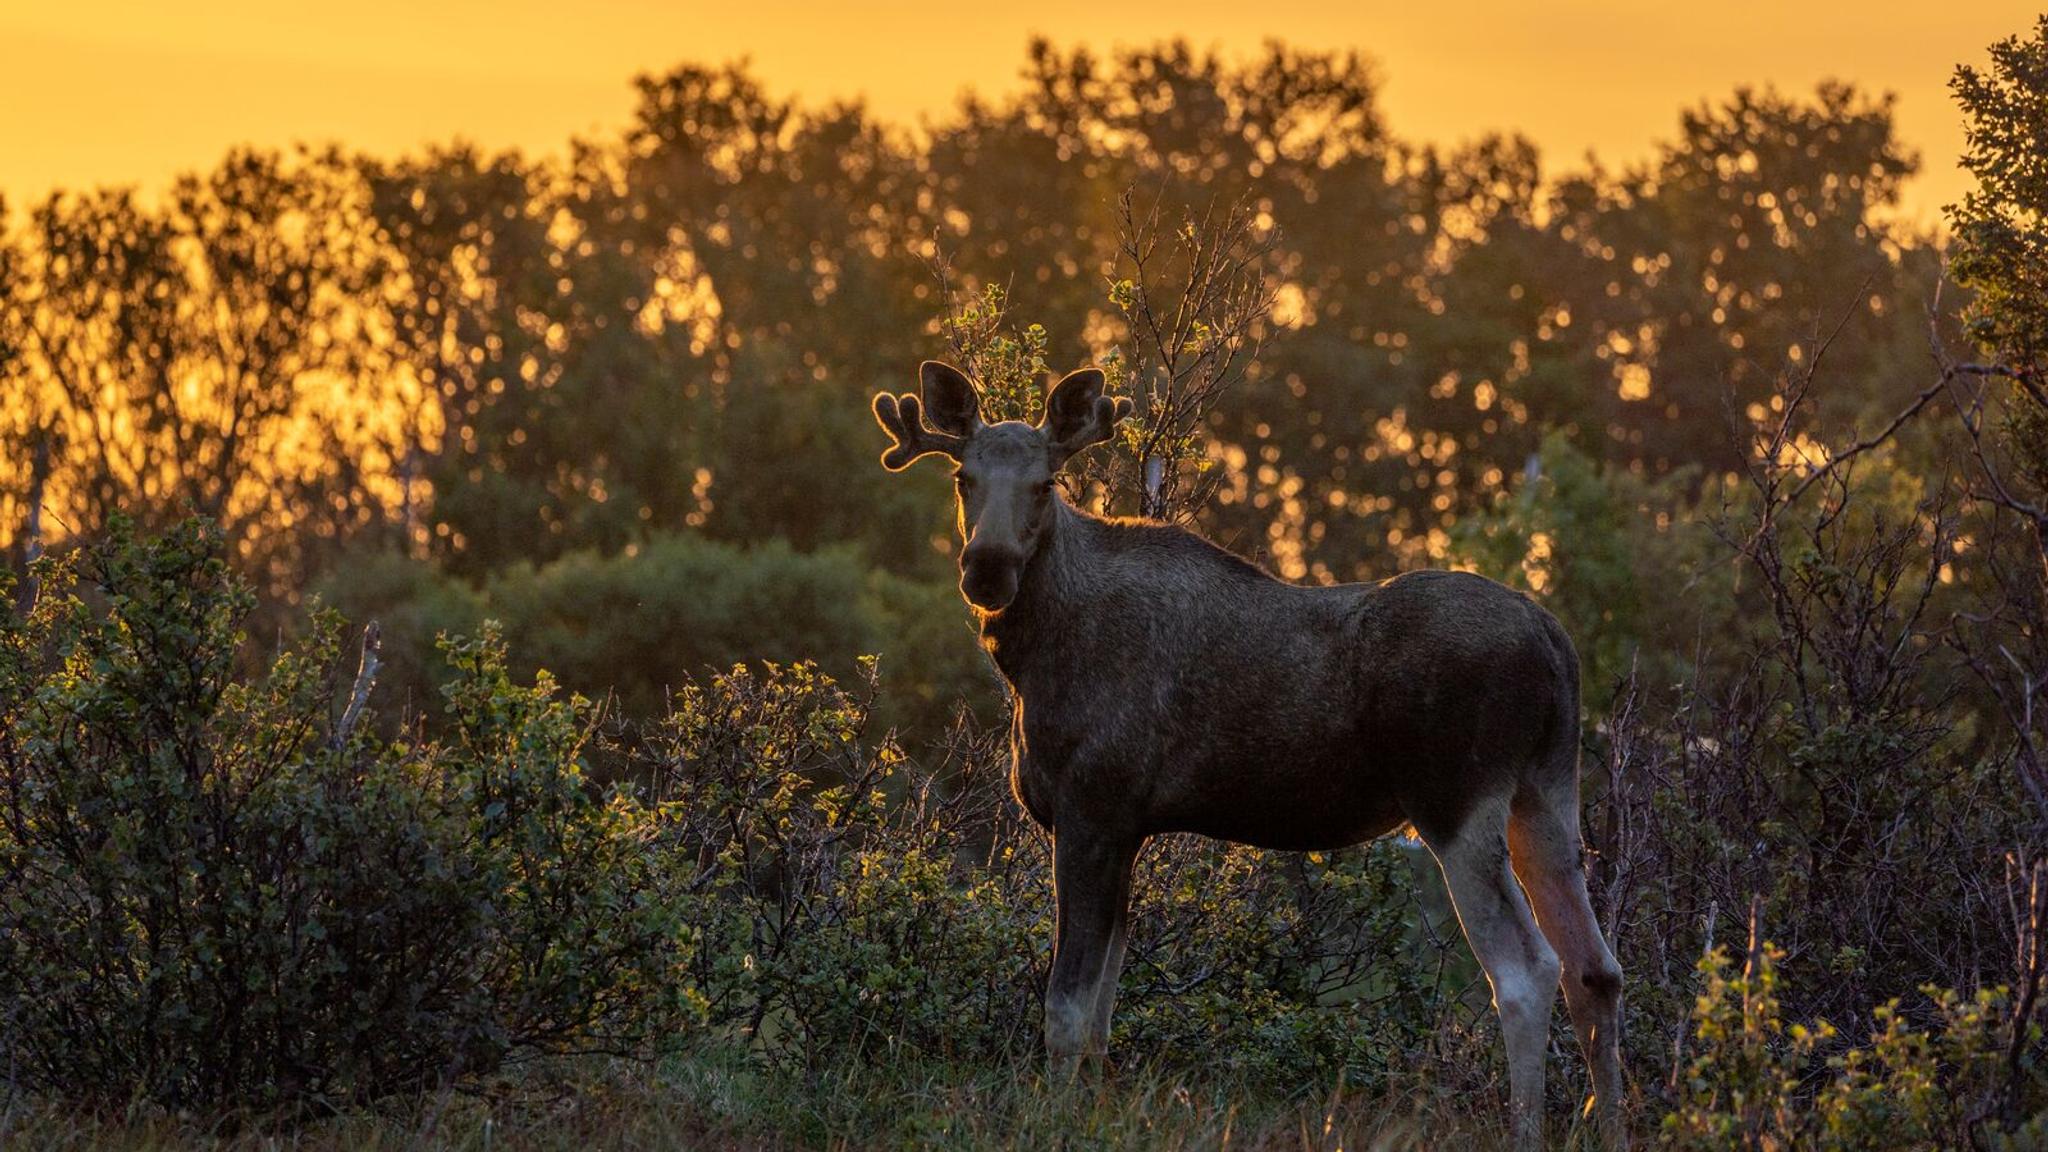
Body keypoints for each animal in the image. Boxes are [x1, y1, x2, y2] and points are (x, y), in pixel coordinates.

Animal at [872, 361, 1628, 1151]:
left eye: (1046, 483)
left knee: (1527, 971)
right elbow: (1104, 1013)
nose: (986, 568)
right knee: (1596, 968)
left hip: (1455, 800)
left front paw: (1053, 1117)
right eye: (964, 477)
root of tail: (1553, 640)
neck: (1033, 657)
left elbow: (1066, 1007)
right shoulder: (1127, 827)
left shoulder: (1092, 809)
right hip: (1545, 791)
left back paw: (1527, 1129)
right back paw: (1609, 1124)